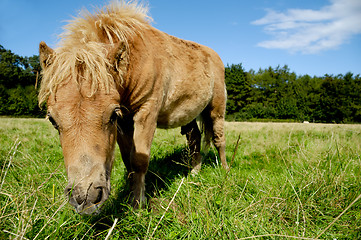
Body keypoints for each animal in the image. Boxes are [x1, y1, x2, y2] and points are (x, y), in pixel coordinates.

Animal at [38, 0, 228, 215]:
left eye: (112, 115)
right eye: (53, 120)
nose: (86, 198)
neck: (135, 61)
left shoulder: (145, 113)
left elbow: (139, 160)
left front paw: (138, 205)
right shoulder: (125, 122)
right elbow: (128, 160)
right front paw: (130, 199)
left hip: (216, 109)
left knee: (218, 139)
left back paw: (225, 171)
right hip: (188, 115)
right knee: (194, 138)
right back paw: (194, 173)